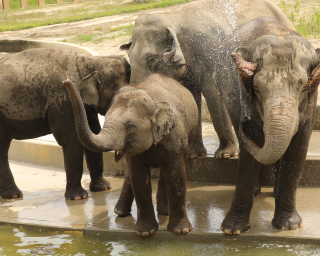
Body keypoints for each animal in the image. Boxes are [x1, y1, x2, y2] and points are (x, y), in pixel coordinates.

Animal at [0, 48, 130, 200]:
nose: (65, 80)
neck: (92, 62)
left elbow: (93, 133)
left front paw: (103, 187)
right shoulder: (64, 102)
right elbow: (72, 140)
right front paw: (79, 197)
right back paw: (14, 195)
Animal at [62, 73, 198, 236]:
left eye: (130, 127)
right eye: (106, 119)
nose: (65, 80)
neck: (152, 98)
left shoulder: (176, 137)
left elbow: (175, 174)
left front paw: (181, 231)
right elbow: (138, 177)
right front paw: (145, 233)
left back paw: (164, 212)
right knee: (131, 174)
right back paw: (120, 212)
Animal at [119, 0, 296, 159]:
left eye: (151, 60)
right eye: (129, 59)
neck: (172, 17)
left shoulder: (209, 52)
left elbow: (212, 94)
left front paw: (225, 155)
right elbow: (191, 97)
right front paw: (193, 155)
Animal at [212, 17, 320, 234]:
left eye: (303, 88)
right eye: (258, 89)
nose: (244, 122)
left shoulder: (311, 103)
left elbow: (298, 148)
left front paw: (289, 226)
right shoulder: (243, 96)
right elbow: (251, 150)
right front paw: (232, 230)